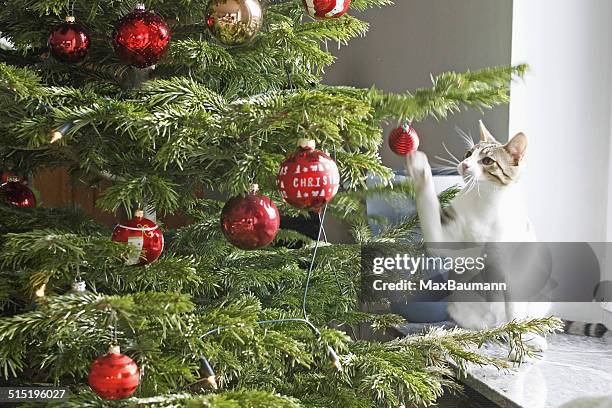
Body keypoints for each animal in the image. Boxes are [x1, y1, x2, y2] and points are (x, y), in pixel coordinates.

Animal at [404, 121, 552, 356]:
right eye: (468, 154)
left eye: (487, 161)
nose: (464, 165)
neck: (485, 201)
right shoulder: (444, 239)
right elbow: (428, 205)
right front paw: (419, 168)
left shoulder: (510, 274)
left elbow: (514, 315)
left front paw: (517, 349)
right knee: (481, 328)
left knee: (517, 320)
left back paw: (530, 339)